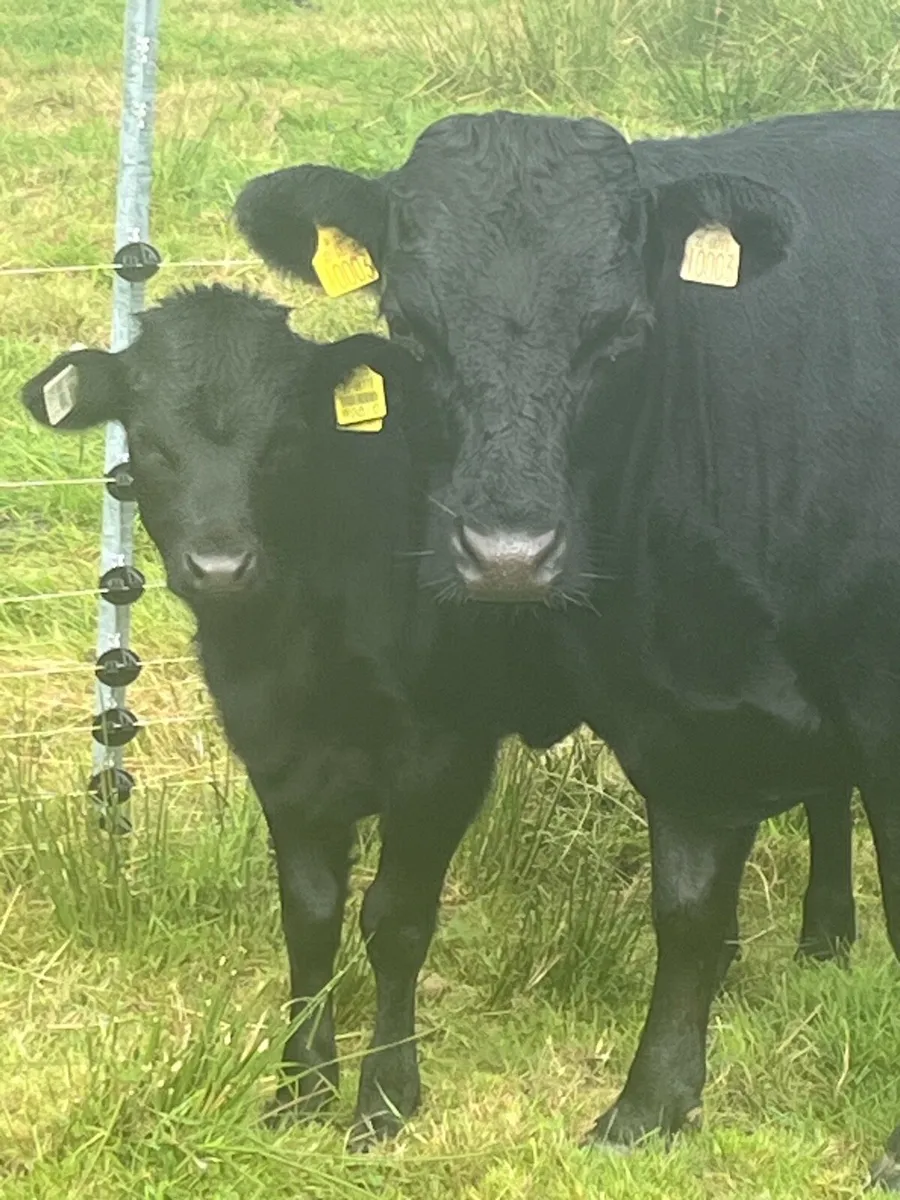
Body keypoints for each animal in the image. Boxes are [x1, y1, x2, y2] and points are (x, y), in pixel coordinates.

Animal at [20, 283, 587, 1149]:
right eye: (147, 442)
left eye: (286, 438)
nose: (221, 566)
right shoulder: (277, 756)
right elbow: (310, 913)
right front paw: (301, 1085)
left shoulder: (444, 760)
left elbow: (395, 920)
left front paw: (385, 1097)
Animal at [234, 109, 900, 1184]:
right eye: (407, 329)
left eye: (623, 331)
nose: (507, 556)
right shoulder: (677, 714)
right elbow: (688, 911)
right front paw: (649, 1108)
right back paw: (824, 937)